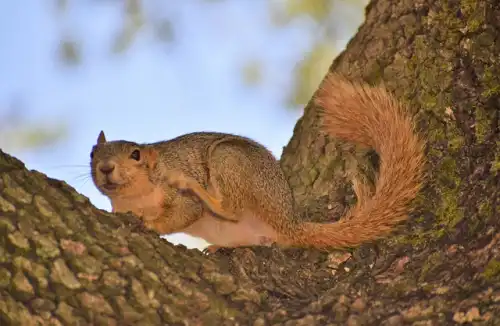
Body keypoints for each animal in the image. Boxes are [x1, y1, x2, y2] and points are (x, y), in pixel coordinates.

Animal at [91, 74, 426, 252]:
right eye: (93, 154)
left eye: (135, 154)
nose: (105, 168)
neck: (137, 196)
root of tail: (287, 221)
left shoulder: (177, 194)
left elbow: (183, 213)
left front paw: (151, 224)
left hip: (229, 160)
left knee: (231, 208)